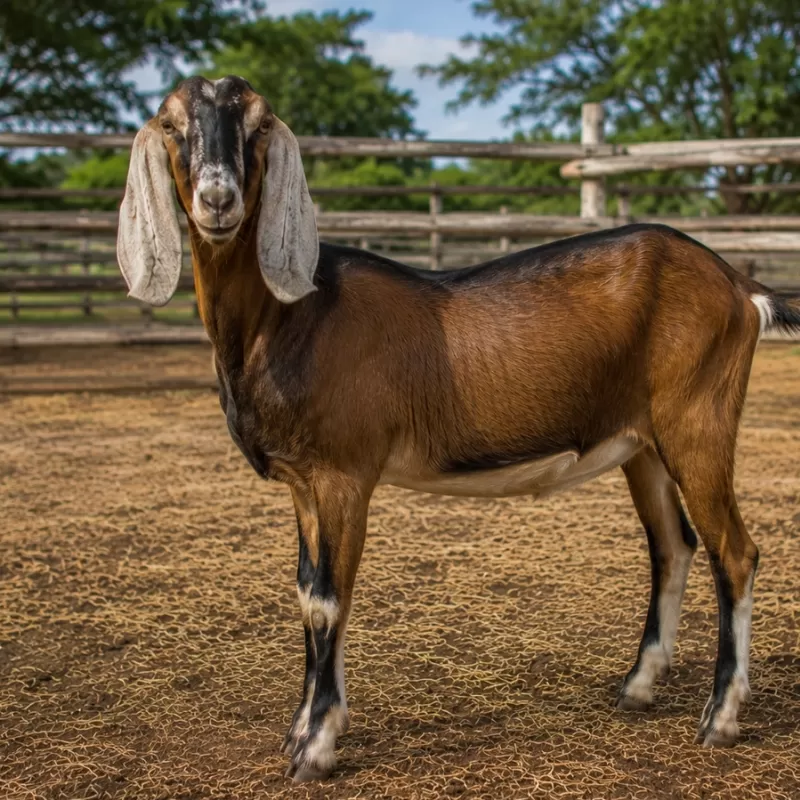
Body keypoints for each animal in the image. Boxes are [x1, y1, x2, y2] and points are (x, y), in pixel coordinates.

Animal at [117, 75, 800, 782]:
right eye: (170, 125)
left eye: (257, 125)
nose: (217, 199)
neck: (291, 315)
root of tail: (738, 285)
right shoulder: (303, 483)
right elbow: (307, 593)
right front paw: (299, 730)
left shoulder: (343, 473)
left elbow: (331, 597)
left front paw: (317, 746)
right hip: (644, 444)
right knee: (674, 546)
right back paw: (638, 685)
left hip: (699, 421)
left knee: (735, 552)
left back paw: (720, 717)